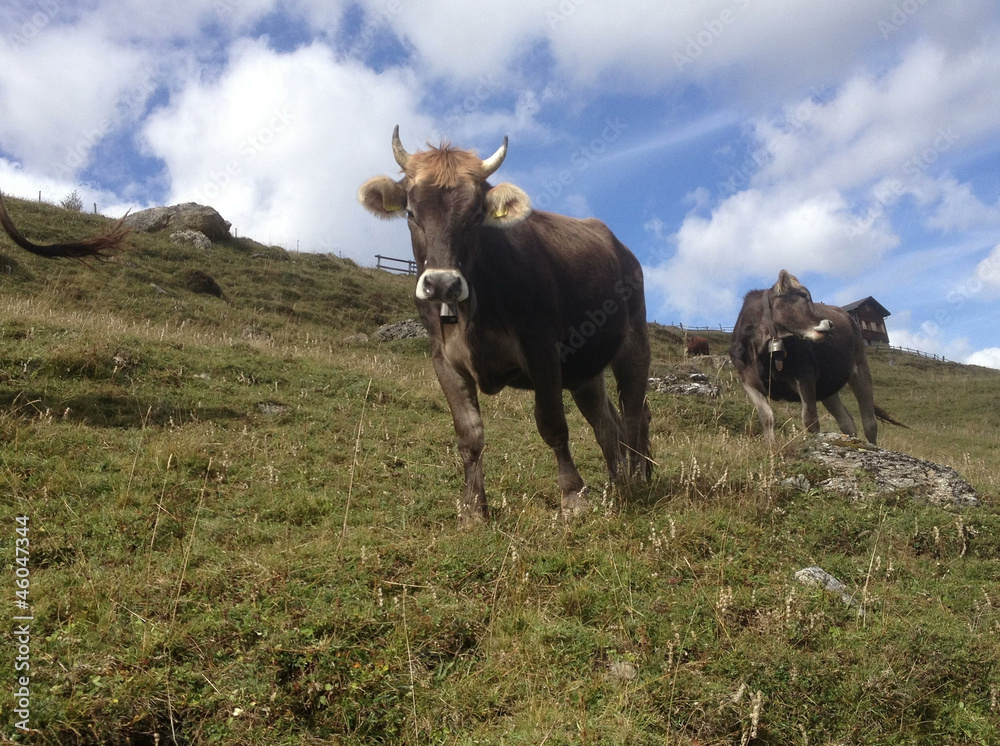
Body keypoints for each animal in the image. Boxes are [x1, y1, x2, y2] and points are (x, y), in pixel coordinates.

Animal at [360, 126, 656, 524]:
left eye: (476, 214)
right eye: (410, 211)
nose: (442, 284)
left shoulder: (542, 350)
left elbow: (552, 424)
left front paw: (573, 496)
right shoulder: (444, 360)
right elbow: (469, 433)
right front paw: (473, 508)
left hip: (634, 344)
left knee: (635, 413)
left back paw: (637, 480)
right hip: (586, 370)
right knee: (607, 424)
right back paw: (616, 485)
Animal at [732, 270, 904, 442]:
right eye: (804, 296)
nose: (830, 324)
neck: (761, 352)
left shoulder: (806, 376)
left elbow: (810, 420)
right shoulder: (747, 381)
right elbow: (766, 417)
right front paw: (771, 446)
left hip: (860, 367)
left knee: (869, 422)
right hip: (827, 386)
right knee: (846, 421)